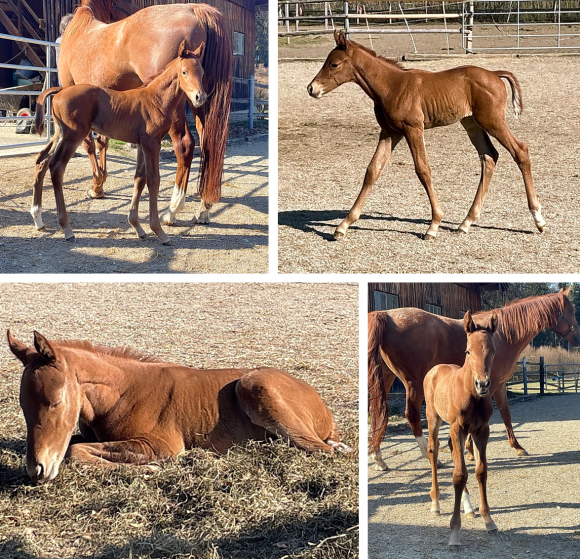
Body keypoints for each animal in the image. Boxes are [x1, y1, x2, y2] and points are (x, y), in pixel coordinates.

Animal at [7, 330, 354, 484]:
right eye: (23, 406)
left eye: (56, 401)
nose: (36, 470)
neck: (122, 392)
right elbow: (75, 446)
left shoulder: (159, 444)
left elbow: (74, 452)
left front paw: (149, 469)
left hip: (256, 385)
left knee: (322, 450)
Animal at [32, 40, 207, 244]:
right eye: (184, 72)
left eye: (202, 73)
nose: (200, 97)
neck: (155, 99)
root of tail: (61, 90)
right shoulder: (152, 143)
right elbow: (153, 181)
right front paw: (159, 231)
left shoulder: (141, 144)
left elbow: (139, 179)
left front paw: (137, 227)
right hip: (73, 136)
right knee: (56, 167)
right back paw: (66, 228)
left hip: (60, 134)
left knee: (42, 160)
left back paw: (38, 218)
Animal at [306, 30, 548, 241]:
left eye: (334, 64)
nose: (311, 88)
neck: (392, 86)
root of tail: (495, 74)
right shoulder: (390, 132)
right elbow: (372, 170)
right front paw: (343, 225)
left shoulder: (413, 129)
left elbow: (423, 170)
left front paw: (434, 225)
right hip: (471, 123)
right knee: (489, 157)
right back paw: (466, 223)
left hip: (492, 121)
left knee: (520, 151)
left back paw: (538, 219)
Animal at [422, 312, 498, 548]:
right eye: (468, 351)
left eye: (492, 351)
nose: (482, 384)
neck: (472, 396)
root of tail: (434, 369)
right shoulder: (458, 428)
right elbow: (459, 474)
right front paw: (454, 532)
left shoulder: (481, 430)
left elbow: (480, 471)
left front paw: (488, 519)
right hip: (434, 417)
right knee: (433, 449)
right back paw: (436, 503)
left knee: (453, 452)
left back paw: (469, 507)